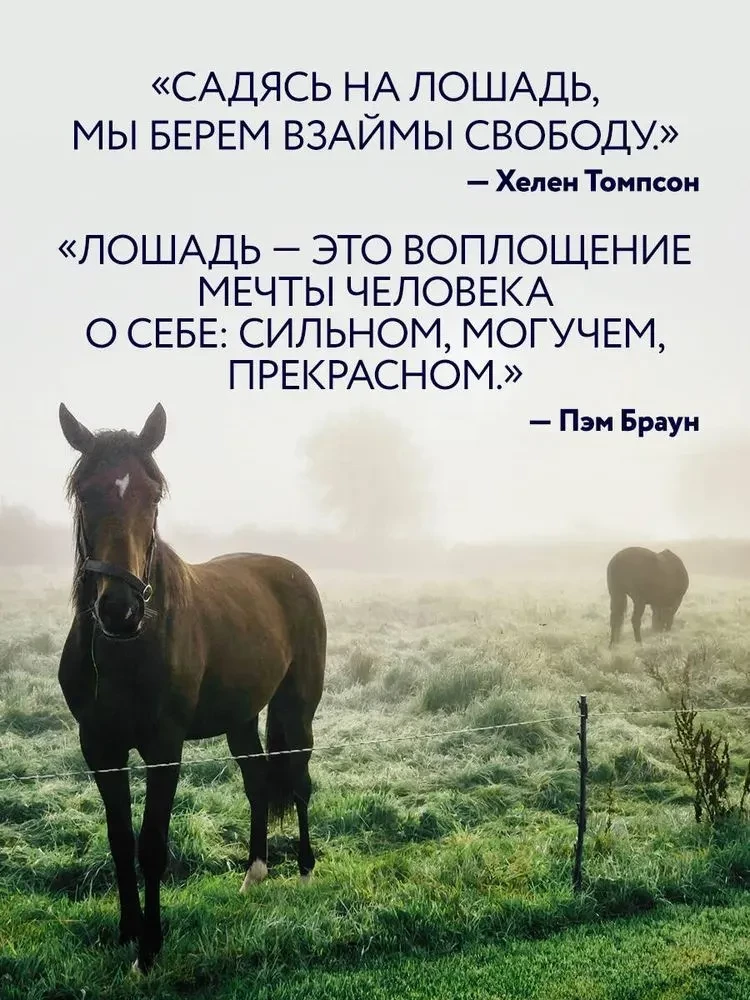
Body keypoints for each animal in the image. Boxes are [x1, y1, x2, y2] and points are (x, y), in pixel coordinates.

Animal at [56, 402, 327, 973]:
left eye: (152, 496)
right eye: (85, 492)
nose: (120, 609)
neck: (128, 650)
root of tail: (292, 571)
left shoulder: (164, 748)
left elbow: (152, 846)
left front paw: (150, 949)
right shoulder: (99, 748)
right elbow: (119, 841)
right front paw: (127, 932)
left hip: (298, 708)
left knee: (298, 781)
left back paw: (305, 871)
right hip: (241, 717)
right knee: (257, 781)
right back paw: (254, 875)